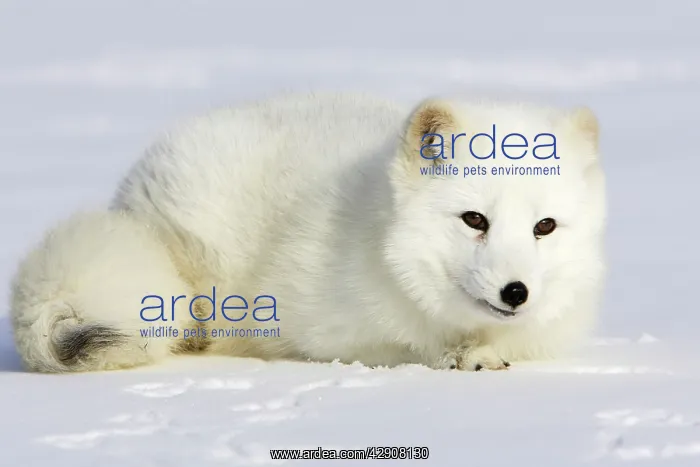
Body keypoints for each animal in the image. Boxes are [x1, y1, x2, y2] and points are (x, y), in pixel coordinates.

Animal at [9, 93, 606, 373]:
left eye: (544, 227)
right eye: (475, 220)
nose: (516, 292)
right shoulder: (325, 333)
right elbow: (402, 350)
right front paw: (457, 358)